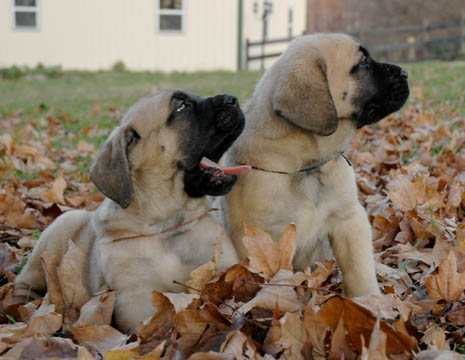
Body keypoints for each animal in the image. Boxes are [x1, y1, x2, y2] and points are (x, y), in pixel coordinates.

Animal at [12, 89, 248, 332]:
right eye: (182, 107)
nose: (233, 99)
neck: (167, 223)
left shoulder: (224, 266)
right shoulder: (135, 297)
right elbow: (149, 324)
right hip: (61, 225)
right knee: (24, 282)